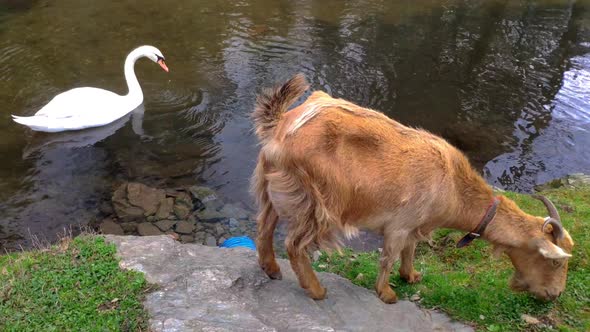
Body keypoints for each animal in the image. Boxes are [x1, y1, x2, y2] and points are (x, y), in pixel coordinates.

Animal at [252, 74, 576, 302]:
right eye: (555, 262)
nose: (554, 295)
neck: (453, 186)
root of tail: (280, 125)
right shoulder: (399, 224)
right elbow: (389, 256)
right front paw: (387, 294)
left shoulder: (415, 225)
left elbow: (410, 250)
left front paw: (411, 276)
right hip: (317, 203)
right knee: (294, 244)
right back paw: (316, 290)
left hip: (275, 189)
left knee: (264, 227)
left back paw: (272, 269)